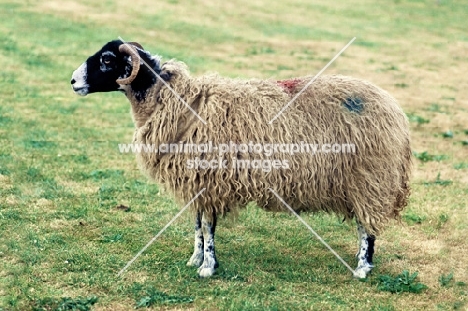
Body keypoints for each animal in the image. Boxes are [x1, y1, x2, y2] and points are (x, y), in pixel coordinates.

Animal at [71, 39, 412, 280]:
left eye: (107, 59)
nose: (73, 81)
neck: (172, 100)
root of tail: (397, 112)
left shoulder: (210, 180)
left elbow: (208, 228)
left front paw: (208, 267)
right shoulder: (199, 182)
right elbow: (198, 224)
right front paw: (195, 258)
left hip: (370, 177)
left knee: (367, 228)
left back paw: (363, 268)